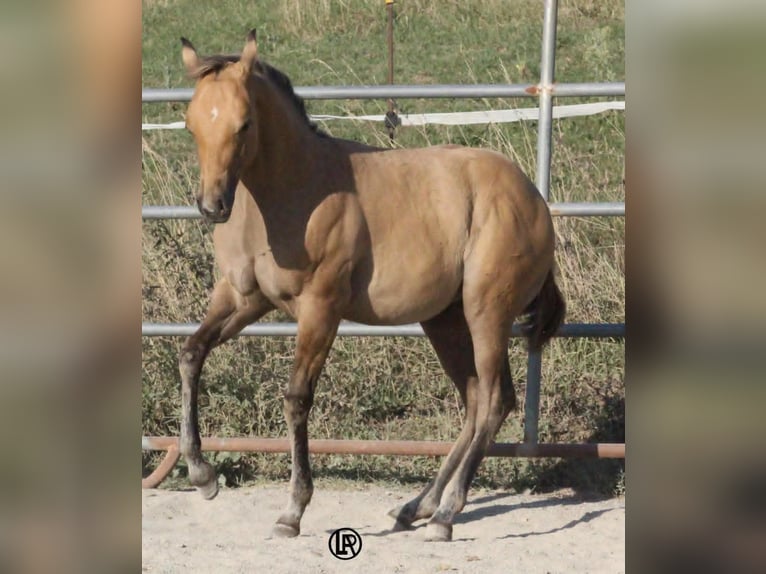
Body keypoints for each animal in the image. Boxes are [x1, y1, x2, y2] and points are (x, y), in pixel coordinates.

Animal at [177, 29, 565, 542]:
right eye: (191, 124)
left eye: (244, 124)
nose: (212, 206)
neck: (293, 192)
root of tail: (532, 197)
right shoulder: (243, 298)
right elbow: (191, 354)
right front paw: (203, 477)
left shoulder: (321, 309)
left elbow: (297, 398)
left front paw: (292, 512)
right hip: (443, 320)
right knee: (474, 399)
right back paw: (416, 507)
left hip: (487, 311)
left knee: (496, 399)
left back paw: (446, 515)